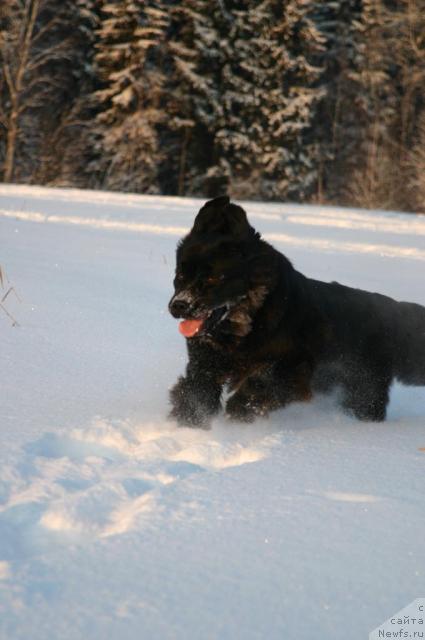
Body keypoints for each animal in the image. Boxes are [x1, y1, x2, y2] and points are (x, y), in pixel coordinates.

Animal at [167, 195, 424, 424]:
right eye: (180, 275)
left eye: (212, 279)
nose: (178, 305)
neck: (247, 324)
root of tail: (391, 311)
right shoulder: (204, 363)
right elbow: (195, 392)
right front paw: (189, 423)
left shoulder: (296, 367)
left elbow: (262, 379)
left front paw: (240, 410)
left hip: (364, 386)